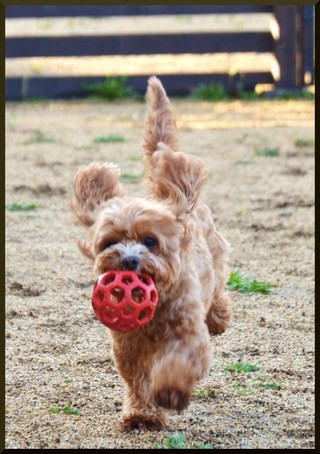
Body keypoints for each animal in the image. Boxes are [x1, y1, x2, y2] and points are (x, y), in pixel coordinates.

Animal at [71, 76, 231, 430]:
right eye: (110, 242)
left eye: (150, 241)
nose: (130, 260)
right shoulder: (128, 346)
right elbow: (138, 379)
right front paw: (141, 414)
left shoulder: (187, 334)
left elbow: (180, 361)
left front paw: (170, 392)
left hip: (215, 258)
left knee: (219, 290)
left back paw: (218, 317)